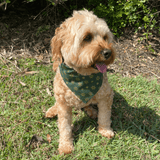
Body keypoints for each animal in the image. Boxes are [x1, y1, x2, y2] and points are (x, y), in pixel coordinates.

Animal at [45, 9, 115, 154]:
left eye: (105, 37)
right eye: (87, 37)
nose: (108, 52)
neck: (81, 75)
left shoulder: (106, 96)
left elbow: (105, 116)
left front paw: (105, 130)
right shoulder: (64, 106)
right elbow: (64, 127)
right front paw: (66, 145)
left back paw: (92, 111)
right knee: (57, 103)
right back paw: (53, 110)